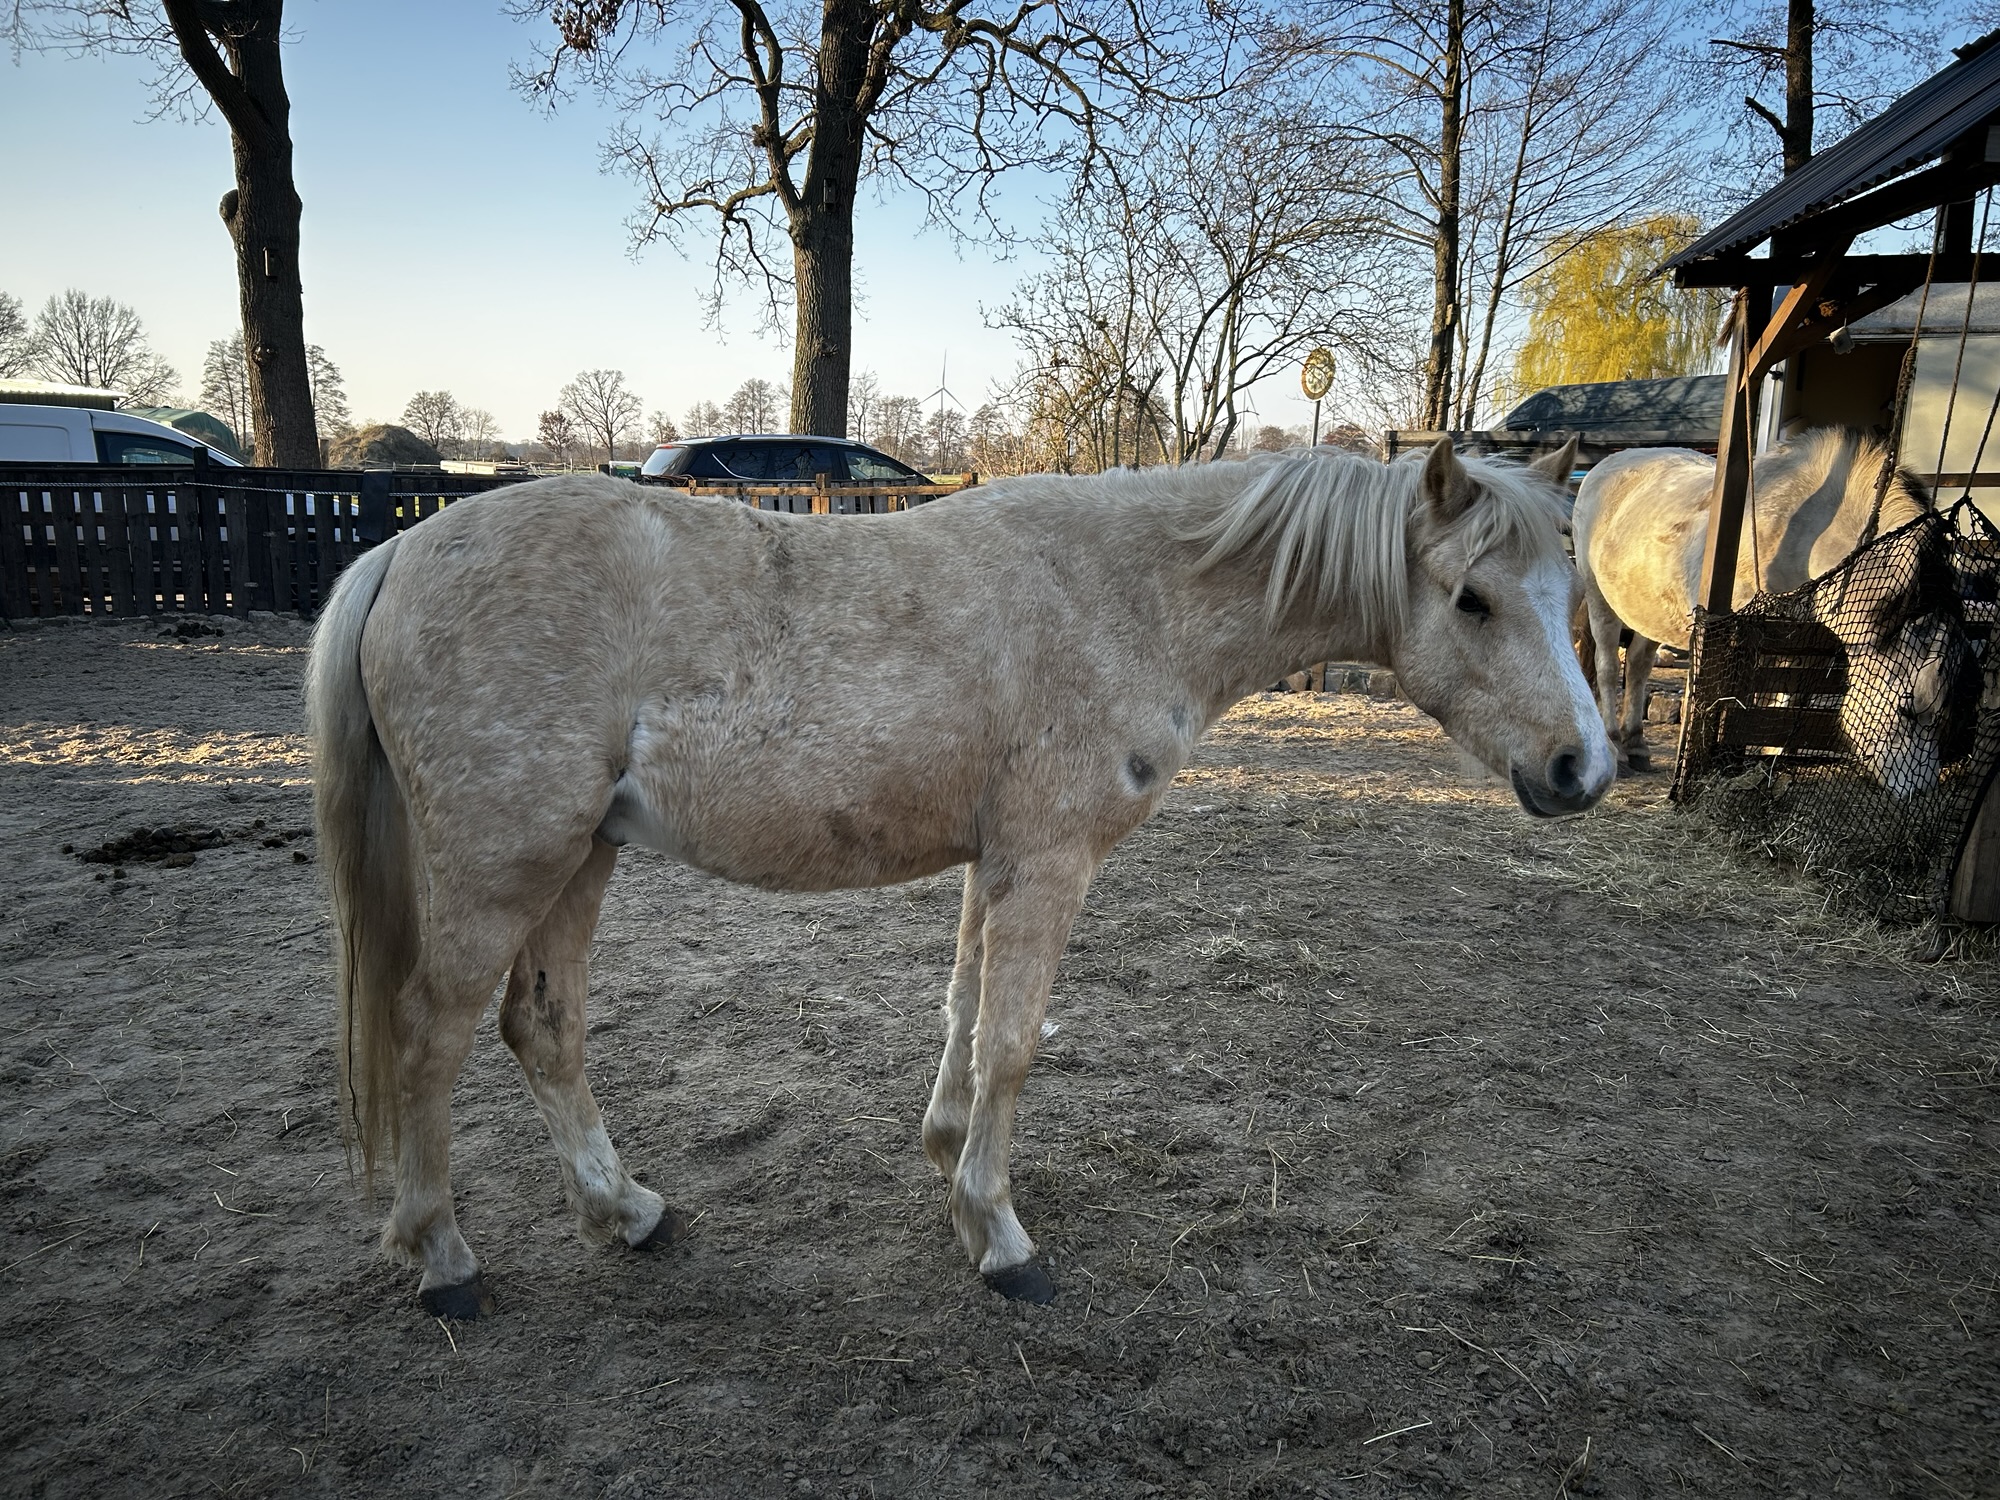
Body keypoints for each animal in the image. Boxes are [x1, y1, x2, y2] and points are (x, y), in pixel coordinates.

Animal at [306, 436, 1611, 1318]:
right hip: (505, 869)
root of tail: (398, 549)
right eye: (1470, 599)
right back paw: (440, 1258)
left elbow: (964, 1010)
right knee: (428, 1035)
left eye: (1564, 592)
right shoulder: (1048, 861)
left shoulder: (997, 861)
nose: (1579, 768)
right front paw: (998, 1233)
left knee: (543, 1029)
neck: (1128, 592)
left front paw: (946, 1162)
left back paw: (621, 1211)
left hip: (580, 859)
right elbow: (1013, 1043)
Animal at [1573, 428, 1961, 795]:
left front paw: (1769, 764)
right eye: (1908, 710)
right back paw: (1615, 746)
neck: (1799, 532)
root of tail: (1603, 468)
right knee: (1608, 667)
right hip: (1599, 599)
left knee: (1638, 666)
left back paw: (1637, 744)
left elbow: (1784, 702)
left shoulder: (1801, 645)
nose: (1921, 790)